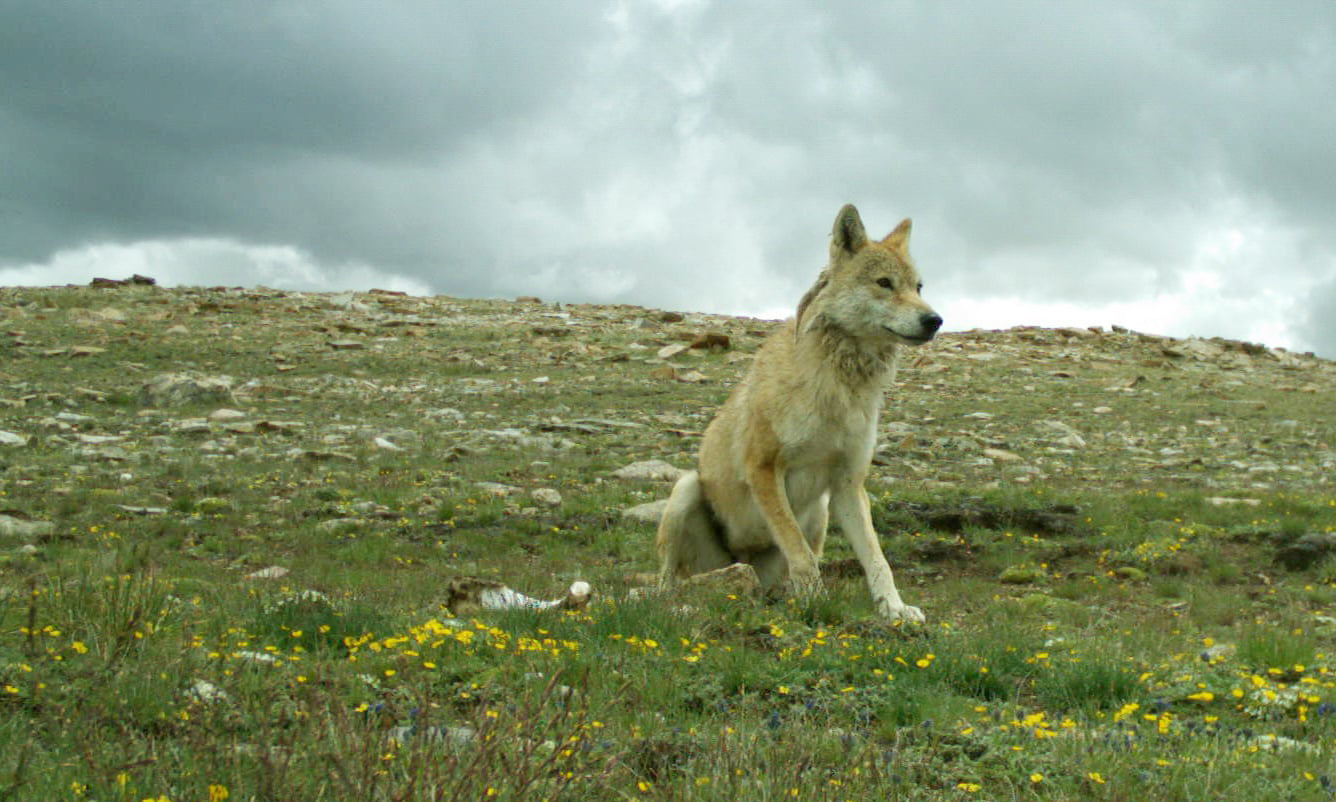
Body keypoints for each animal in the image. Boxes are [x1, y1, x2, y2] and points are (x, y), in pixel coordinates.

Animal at [657, 201, 940, 620]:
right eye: (884, 283)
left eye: (918, 287)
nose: (934, 320)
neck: (840, 388)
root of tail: (742, 561)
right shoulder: (762, 468)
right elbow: (800, 552)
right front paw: (817, 603)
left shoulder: (848, 483)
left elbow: (876, 559)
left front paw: (894, 609)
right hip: (685, 490)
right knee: (666, 580)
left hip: (819, 510)